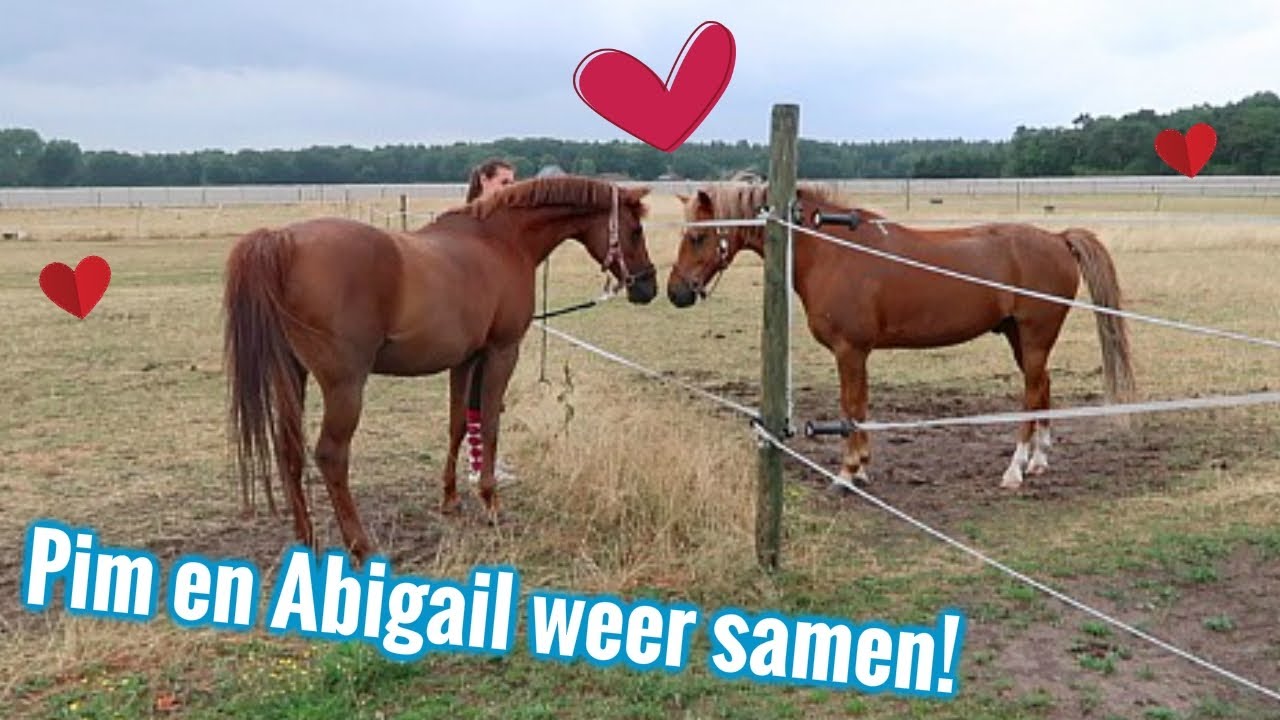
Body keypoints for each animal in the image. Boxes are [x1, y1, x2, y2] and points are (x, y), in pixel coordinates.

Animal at [224, 176, 657, 564]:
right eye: (635, 230)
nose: (647, 287)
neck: (499, 242)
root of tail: (282, 240)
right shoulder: (501, 353)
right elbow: (490, 424)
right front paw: (491, 503)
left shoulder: (465, 360)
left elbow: (459, 425)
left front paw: (450, 499)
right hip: (343, 385)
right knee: (331, 456)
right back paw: (361, 546)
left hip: (290, 375)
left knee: (289, 451)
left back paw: (307, 540)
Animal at [666, 184, 1135, 491]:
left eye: (698, 236)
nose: (676, 292)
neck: (831, 251)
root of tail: (1057, 239)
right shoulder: (857, 353)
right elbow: (860, 406)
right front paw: (862, 467)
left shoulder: (850, 351)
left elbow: (851, 406)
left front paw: (848, 473)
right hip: (1020, 338)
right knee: (1042, 389)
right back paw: (1039, 460)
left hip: (1035, 338)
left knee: (1031, 394)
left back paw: (1015, 469)